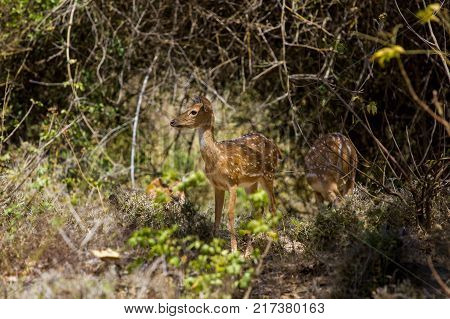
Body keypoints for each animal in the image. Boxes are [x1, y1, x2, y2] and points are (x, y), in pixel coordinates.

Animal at [171, 96, 280, 251]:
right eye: (188, 107)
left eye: (194, 111)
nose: (173, 121)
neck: (217, 157)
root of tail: (275, 147)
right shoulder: (217, 185)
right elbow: (217, 214)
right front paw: (214, 245)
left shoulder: (232, 181)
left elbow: (230, 214)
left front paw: (234, 249)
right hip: (251, 184)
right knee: (258, 210)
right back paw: (249, 250)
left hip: (269, 175)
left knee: (273, 206)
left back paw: (274, 242)